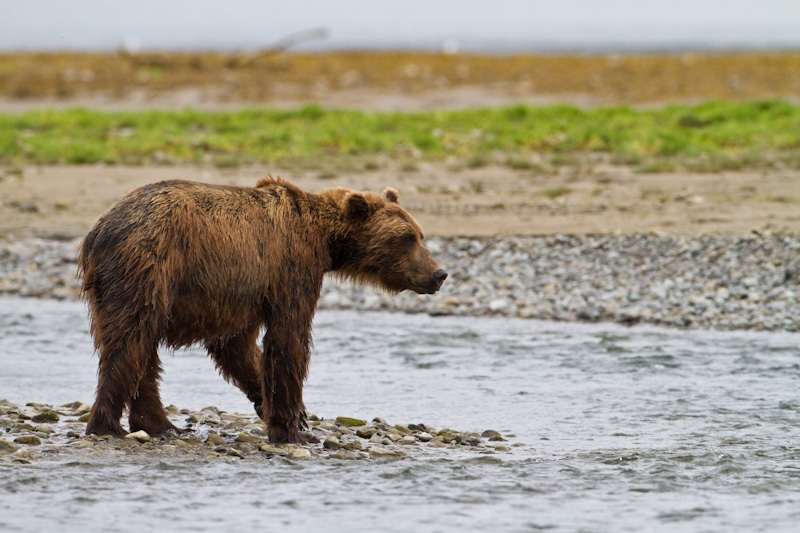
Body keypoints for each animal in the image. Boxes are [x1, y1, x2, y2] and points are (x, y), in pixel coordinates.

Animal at [78, 177, 446, 442]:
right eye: (407, 238)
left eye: (420, 234)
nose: (439, 273)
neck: (327, 243)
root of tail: (97, 232)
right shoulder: (290, 268)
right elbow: (288, 340)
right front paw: (293, 429)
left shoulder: (246, 294)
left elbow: (235, 345)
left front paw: (279, 407)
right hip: (148, 266)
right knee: (131, 343)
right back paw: (110, 425)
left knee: (143, 349)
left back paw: (161, 424)